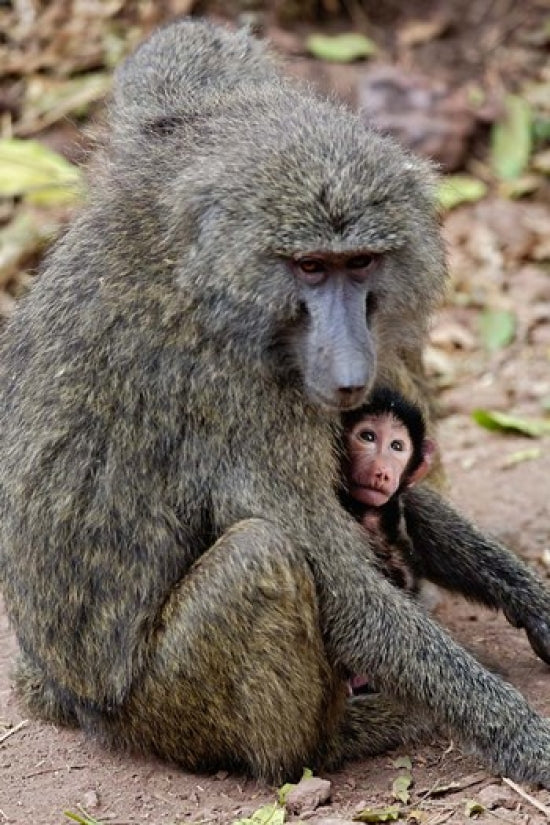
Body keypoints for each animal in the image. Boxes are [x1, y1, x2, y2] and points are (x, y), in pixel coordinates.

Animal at [0, 19, 550, 788]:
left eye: (361, 263)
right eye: (310, 267)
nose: (349, 372)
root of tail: (76, 699)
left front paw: (533, 601)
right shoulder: (240, 398)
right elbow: (338, 579)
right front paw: (523, 737)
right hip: (164, 708)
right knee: (260, 556)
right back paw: (331, 743)